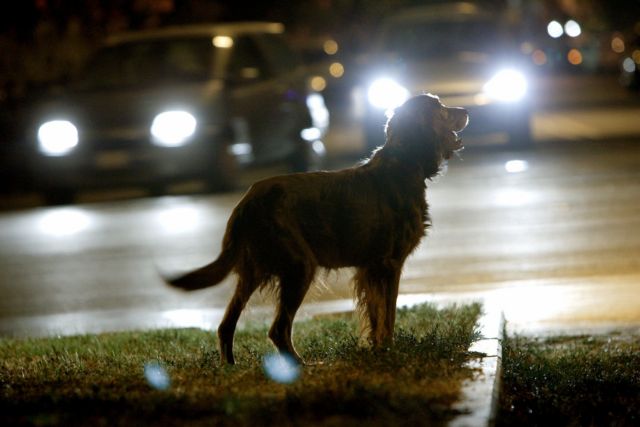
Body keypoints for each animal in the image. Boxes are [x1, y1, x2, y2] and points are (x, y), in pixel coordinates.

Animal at [165, 93, 468, 364]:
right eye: (441, 108)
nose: (465, 109)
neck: (403, 164)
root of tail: (248, 200)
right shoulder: (389, 265)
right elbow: (388, 316)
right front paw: (390, 351)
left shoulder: (370, 268)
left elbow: (376, 315)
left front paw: (377, 349)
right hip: (299, 266)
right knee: (277, 330)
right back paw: (302, 365)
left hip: (253, 271)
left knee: (226, 326)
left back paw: (230, 367)